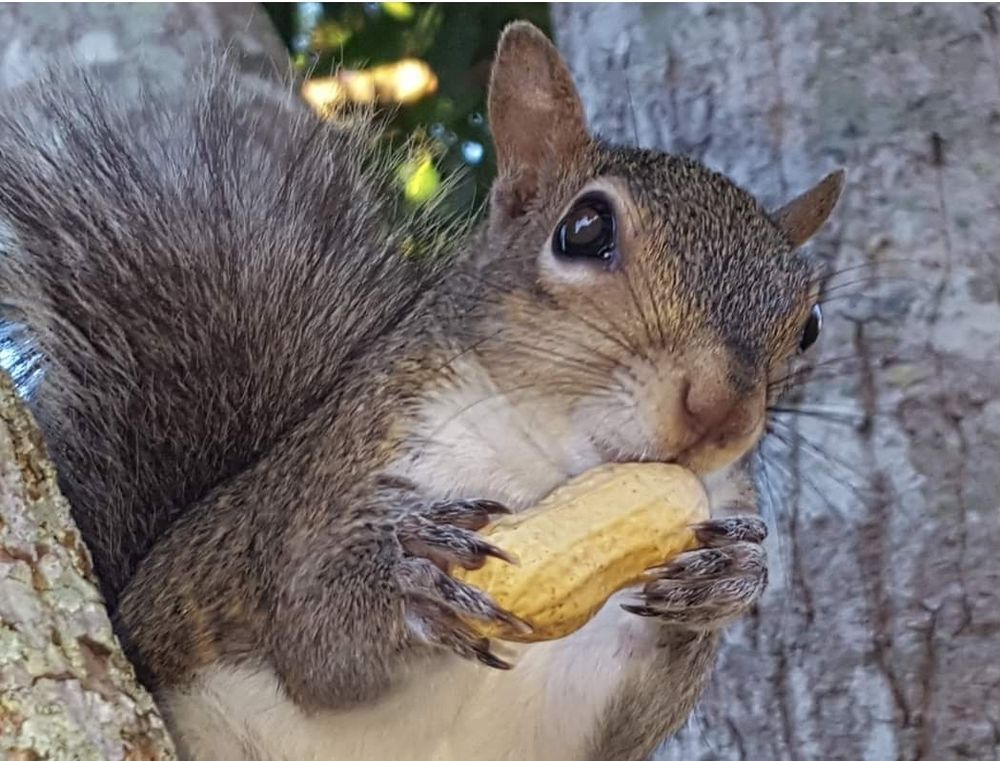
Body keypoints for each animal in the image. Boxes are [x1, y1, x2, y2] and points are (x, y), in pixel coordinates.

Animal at [0, 21, 843, 761]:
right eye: (583, 230)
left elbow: (631, 718)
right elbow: (314, 636)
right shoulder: (328, 489)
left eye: (810, 323)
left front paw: (729, 581)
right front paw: (411, 580)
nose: (722, 411)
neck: (553, 470)